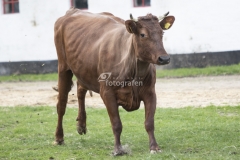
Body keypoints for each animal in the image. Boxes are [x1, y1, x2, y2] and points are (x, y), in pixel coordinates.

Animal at [54, 7, 174, 155]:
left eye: (161, 32)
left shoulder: (150, 92)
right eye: (142, 35)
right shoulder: (107, 92)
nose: (164, 58)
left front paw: (154, 147)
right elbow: (116, 124)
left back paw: (81, 125)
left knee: (80, 89)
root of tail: (73, 11)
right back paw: (59, 137)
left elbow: (149, 123)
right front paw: (117, 149)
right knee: (61, 105)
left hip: (82, 68)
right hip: (63, 67)